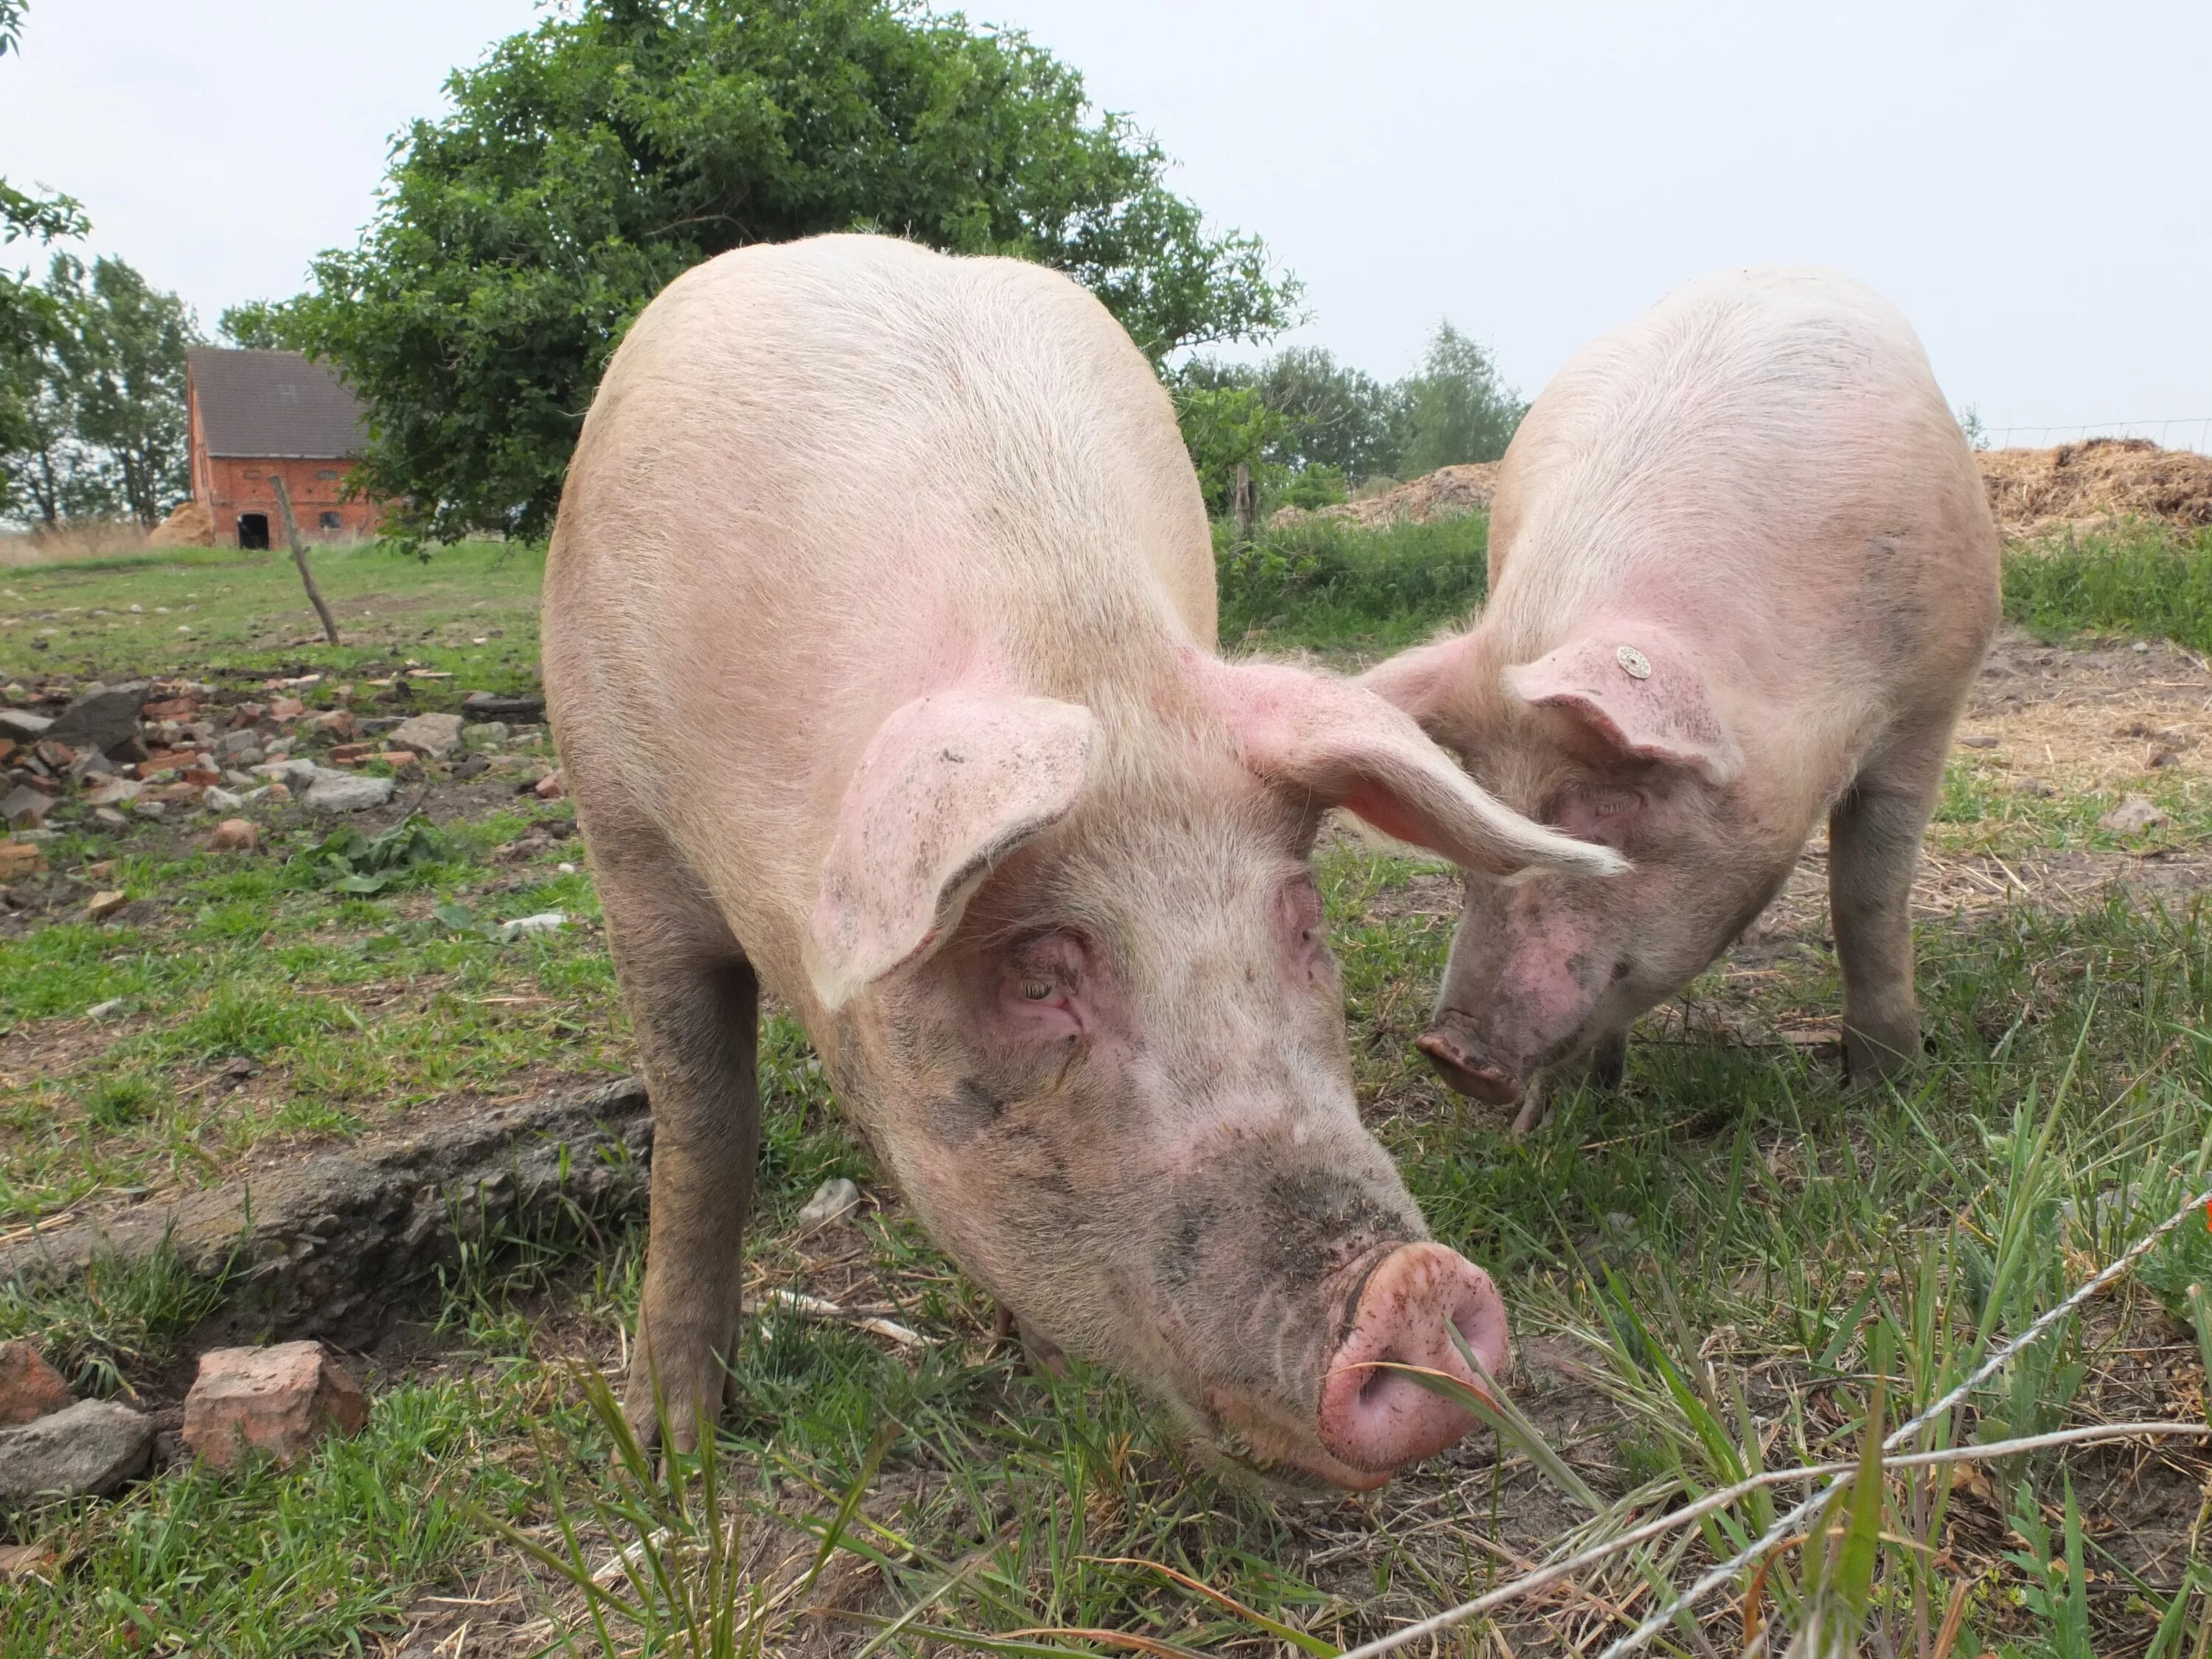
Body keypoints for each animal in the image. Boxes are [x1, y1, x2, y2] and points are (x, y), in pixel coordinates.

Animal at [531, 234, 1610, 1495]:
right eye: (1039, 975)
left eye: (1303, 920)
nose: (1416, 1291)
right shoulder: (627, 843)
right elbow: (703, 1126)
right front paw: (670, 1453)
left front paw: (1042, 1364)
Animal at [1363, 270, 2008, 1133]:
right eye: (1484, 801)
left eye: (1615, 798)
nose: (1450, 1052)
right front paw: (1550, 1122)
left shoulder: (1930, 697)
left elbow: (1868, 898)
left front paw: (1888, 1089)